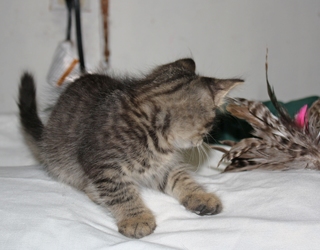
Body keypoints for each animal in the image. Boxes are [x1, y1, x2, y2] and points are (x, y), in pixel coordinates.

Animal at [18, 58, 242, 238]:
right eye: (211, 124)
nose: (202, 140)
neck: (152, 131)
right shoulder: (103, 165)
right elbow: (121, 192)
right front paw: (136, 218)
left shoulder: (161, 167)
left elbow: (182, 179)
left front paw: (200, 196)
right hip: (61, 161)